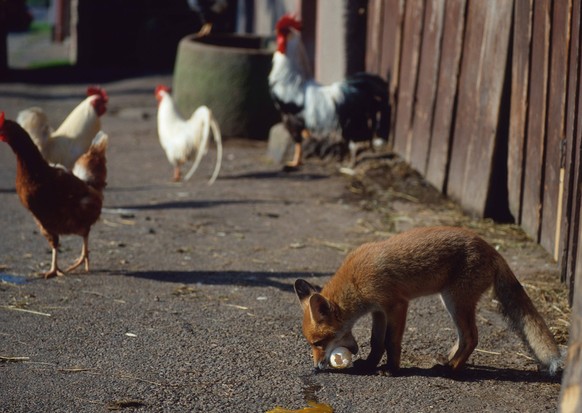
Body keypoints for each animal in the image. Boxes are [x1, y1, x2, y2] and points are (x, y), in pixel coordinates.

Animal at [296, 225, 560, 374]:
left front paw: (391, 370)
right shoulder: (379, 311)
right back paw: (449, 361)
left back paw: (452, 370)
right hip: (450, 302)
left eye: (318, 343)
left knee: (472, 338)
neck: (356, 282)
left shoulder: (397, 305)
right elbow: (376, 342)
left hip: (456, 301)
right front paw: (370, 365)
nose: (316, 368)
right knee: (463, 337)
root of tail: (491, 248)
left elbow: (391, 342)